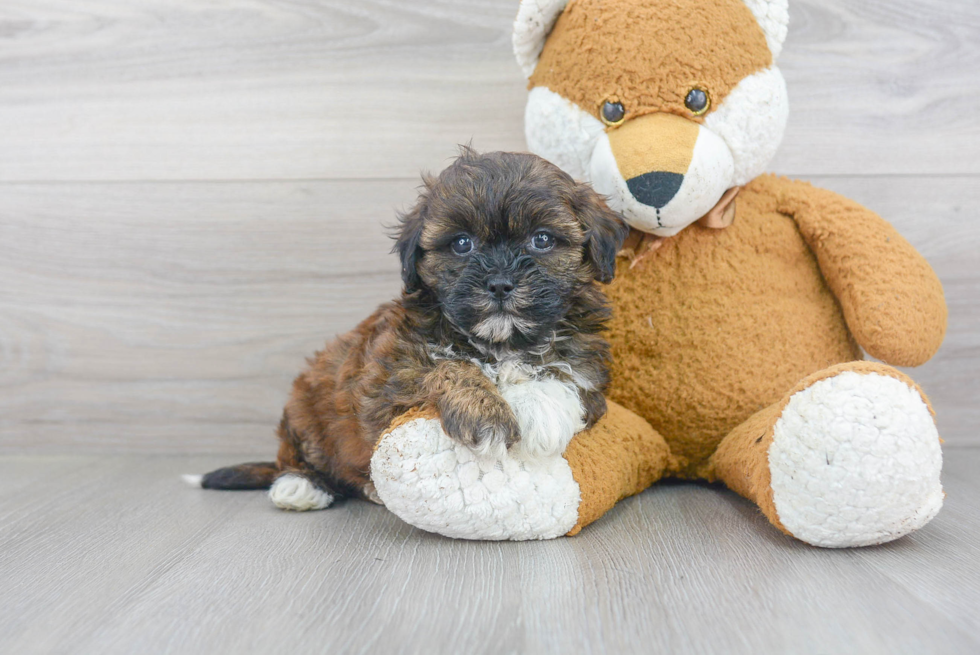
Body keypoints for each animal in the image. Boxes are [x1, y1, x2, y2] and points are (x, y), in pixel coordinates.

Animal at [191, 150, 628, 512]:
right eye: (462, 244)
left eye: (542, 239)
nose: (501, 283)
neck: (500, 342)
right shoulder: (387, 379)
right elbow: (446, 367)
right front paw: (485, 412)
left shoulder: (591, 367)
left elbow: (565, 369)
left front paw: (541, 408)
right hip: (304, 405)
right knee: (298, 454)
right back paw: (301, 485)